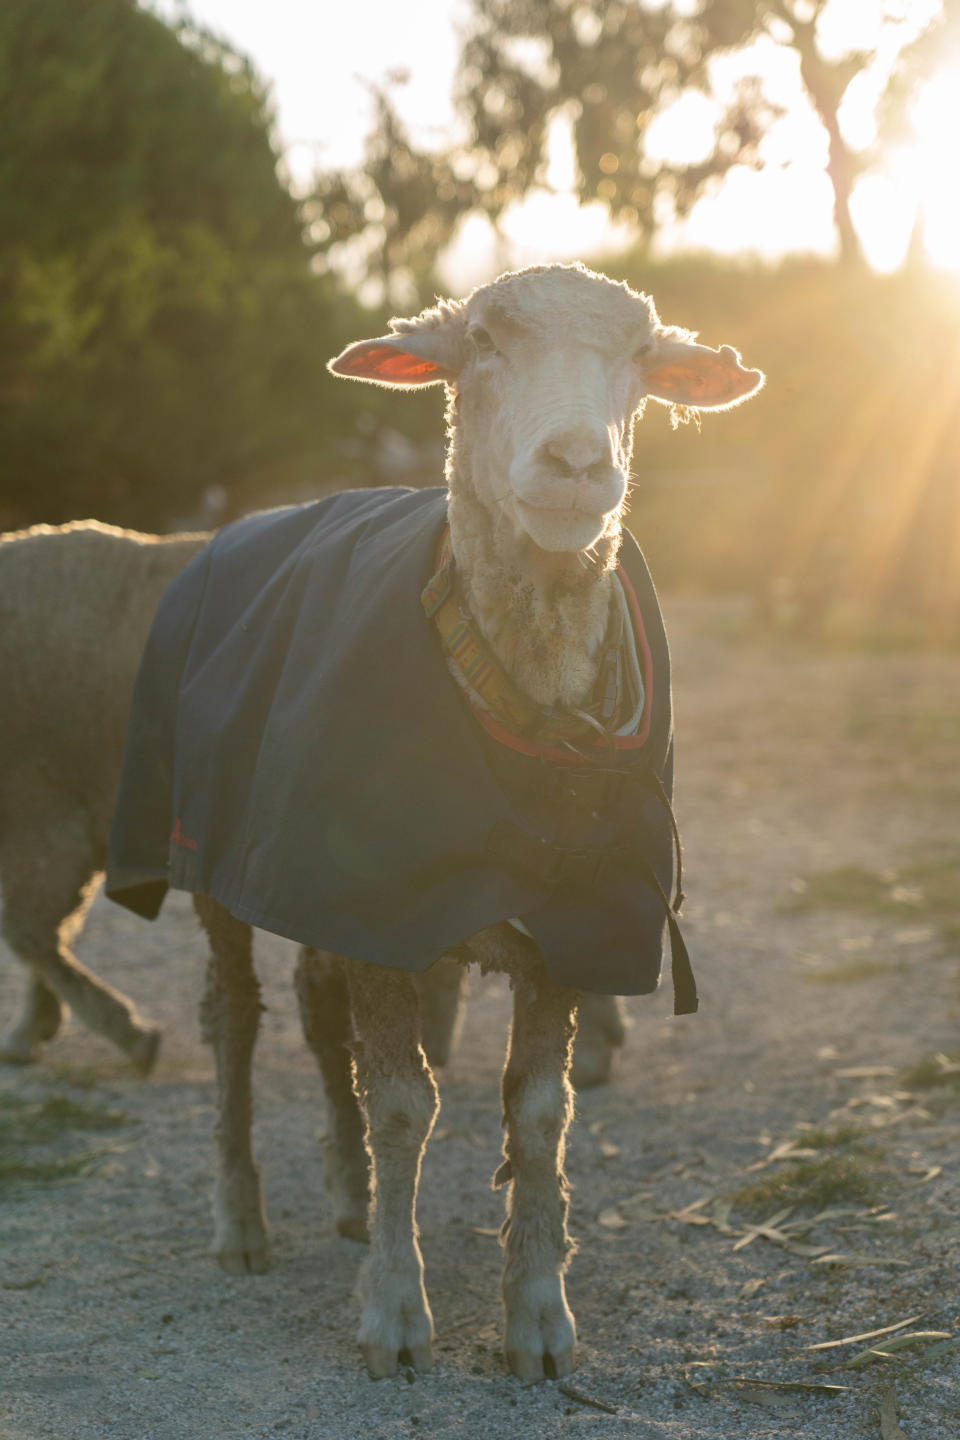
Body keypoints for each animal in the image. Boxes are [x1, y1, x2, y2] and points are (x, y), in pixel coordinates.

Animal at [105, 264, 765, 1376]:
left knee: (317, 1014)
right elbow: (405, 1104)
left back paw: (347, 1193)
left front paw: (538, 1316)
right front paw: (394, 1315)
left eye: (640, 355)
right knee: (235, 1017)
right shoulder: (383, 914)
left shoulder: (570, 920)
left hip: (309, 869)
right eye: (483, 343)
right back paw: (242, 1221)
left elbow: (539, 1114)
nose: (578, 462)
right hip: (209, 850)